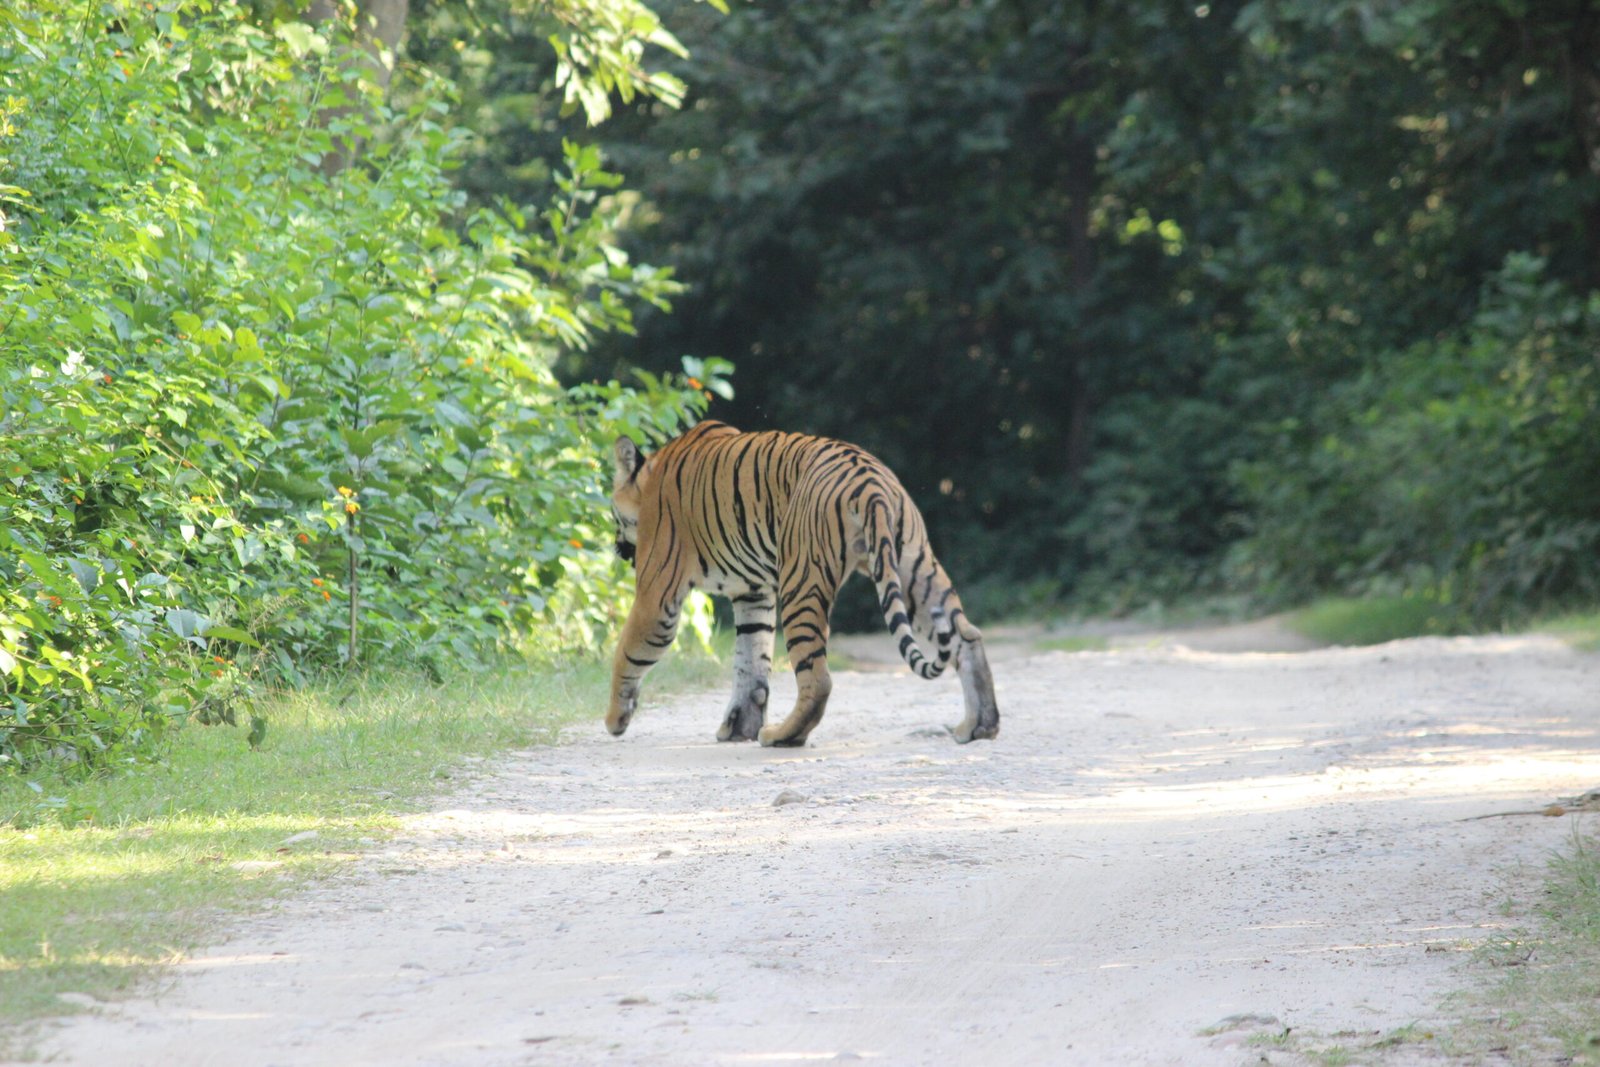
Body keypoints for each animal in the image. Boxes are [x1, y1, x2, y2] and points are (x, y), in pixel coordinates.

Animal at [606, 420, 999, 747]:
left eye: (613, 515)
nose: (616, 547)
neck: (650, 477)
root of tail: (869, 478)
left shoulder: (658, 593)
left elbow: (627, 651)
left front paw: (614, 718)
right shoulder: (753, 592)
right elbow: (750, 663)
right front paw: (738, 727)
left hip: (801, 582)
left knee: (817, 678)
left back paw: (781, 735)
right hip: (914, 568)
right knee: (966, 635)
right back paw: (980, 726)